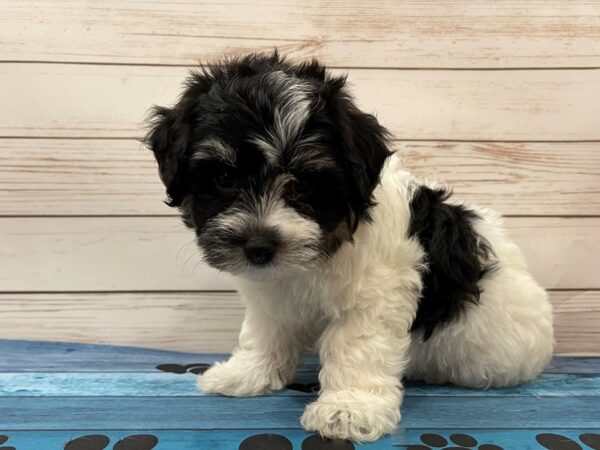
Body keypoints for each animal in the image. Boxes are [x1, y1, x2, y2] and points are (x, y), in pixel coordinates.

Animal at [145, 52, 552, 442]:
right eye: (225, 178)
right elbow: (265, 331)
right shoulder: (273, 293)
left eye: (305, 184)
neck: (325, 248)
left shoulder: (375, 294)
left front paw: (349, 410)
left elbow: (356, 345)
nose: (258, 245)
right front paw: (245, 374)